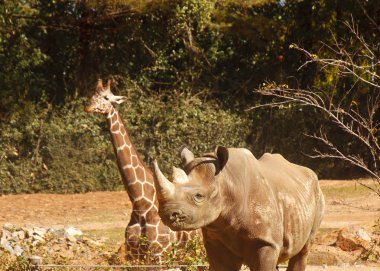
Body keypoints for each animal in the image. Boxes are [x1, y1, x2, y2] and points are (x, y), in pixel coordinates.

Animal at [84, 79, 197, 262]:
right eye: (91, 95)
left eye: (107, 97)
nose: (88, 106)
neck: (141, 204)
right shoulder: (133, 254)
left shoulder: (159, 254)